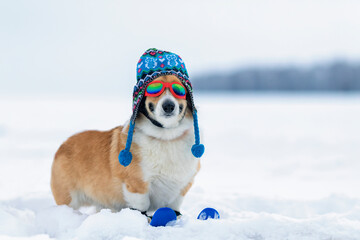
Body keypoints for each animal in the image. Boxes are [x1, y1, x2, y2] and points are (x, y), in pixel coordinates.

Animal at [51, 74, 202, 217]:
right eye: (154, 90)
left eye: (179, 90)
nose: (169, 106)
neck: (166, 138)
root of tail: (63, 144)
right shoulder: (136, 185)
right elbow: (141, 206)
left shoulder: (182, 187)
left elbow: (174, 206)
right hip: (68, 198)